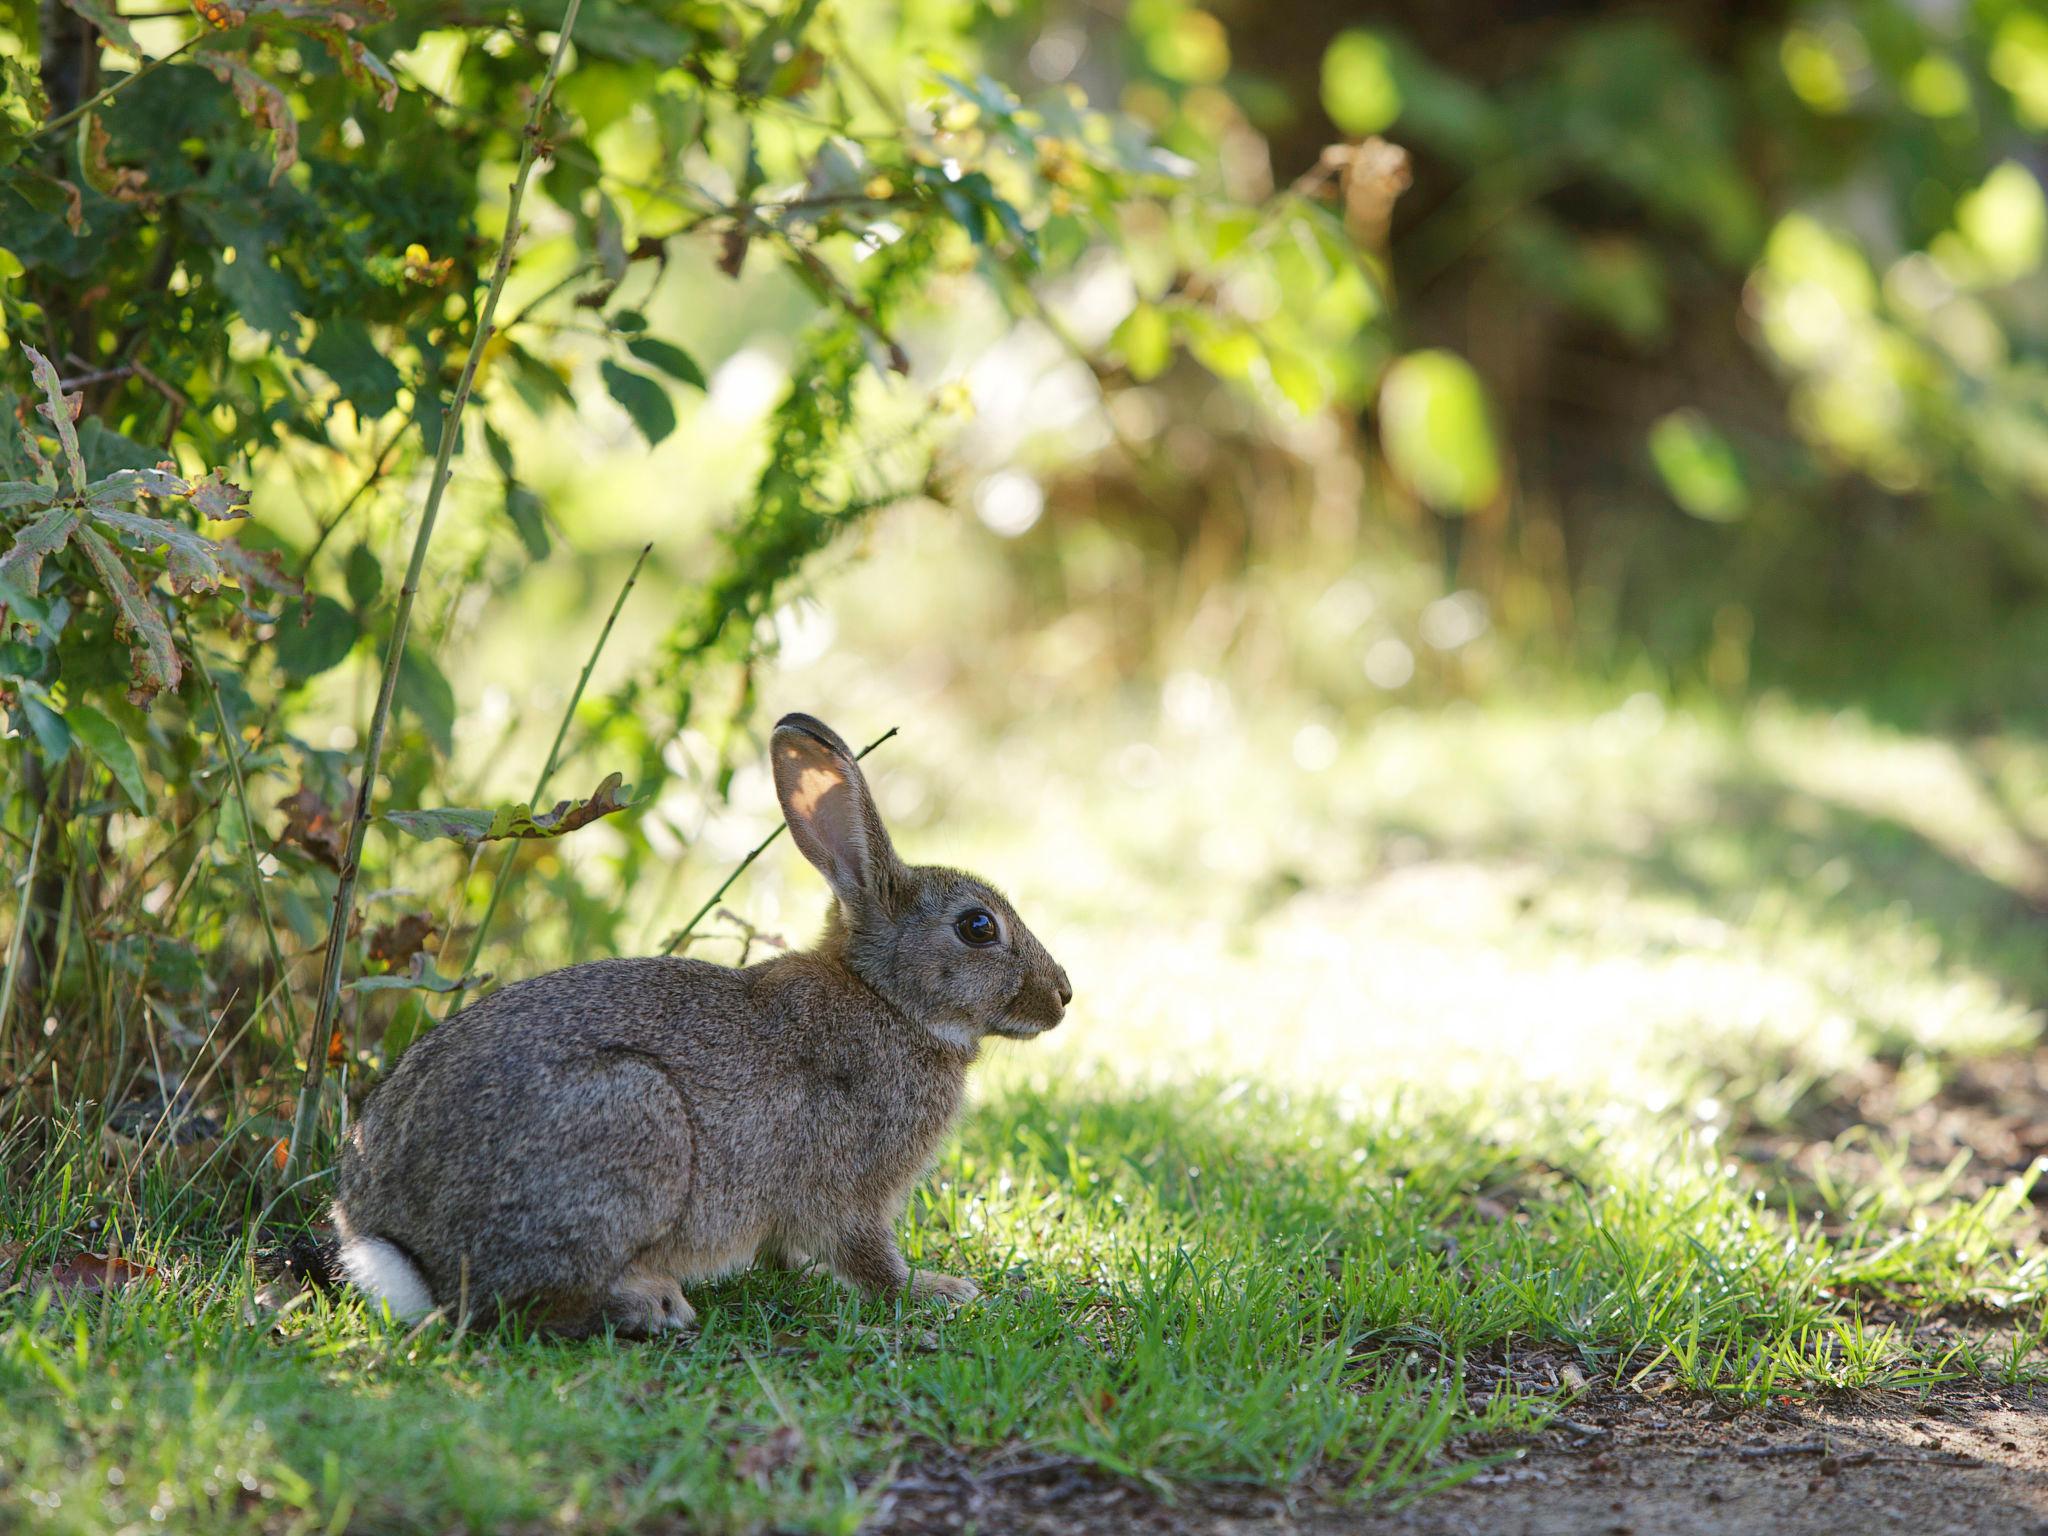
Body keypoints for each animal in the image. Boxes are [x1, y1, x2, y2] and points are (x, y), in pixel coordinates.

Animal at [323, 716, 1073, 1343]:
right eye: (978, 927)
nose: (1063, 996)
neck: (887, 998)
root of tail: (392, 1239)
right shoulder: (851, 1186)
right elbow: (867, 1257)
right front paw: (938, 1291)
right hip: (632, 1120)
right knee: (518, 1307)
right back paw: (651, 1306)